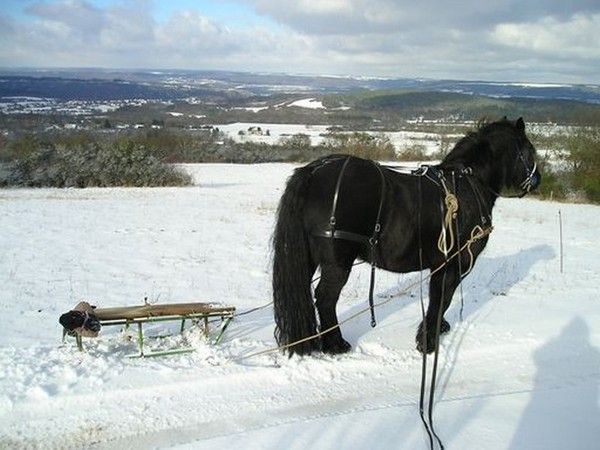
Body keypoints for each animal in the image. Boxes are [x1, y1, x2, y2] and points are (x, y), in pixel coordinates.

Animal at [274, 118, 540, 356]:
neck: (467, 184)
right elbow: (442, 299)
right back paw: (336, 345)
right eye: (529, 150)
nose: (536, 181)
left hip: (308, 258)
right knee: (325, 299)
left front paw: (438, 330)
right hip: (337, 263)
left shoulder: (441, 265)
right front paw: (428, 342)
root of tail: (313, 171)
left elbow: (441, 299)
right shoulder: (453, 263)